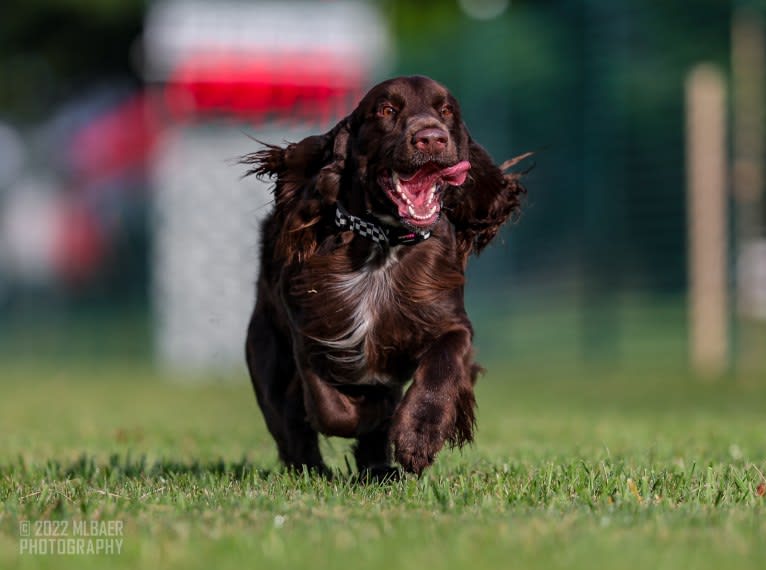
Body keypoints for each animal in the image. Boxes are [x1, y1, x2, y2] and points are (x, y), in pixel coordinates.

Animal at [244, 76, 528, 474]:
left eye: (446, 110)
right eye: (387, 110)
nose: (431, 138)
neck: (385, 246)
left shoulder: (449, 321)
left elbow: (443, 365)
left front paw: (418, 436)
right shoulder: (313, 331)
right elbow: (331, 408)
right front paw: (376, 413)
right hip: (266, 353)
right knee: (288, 424)